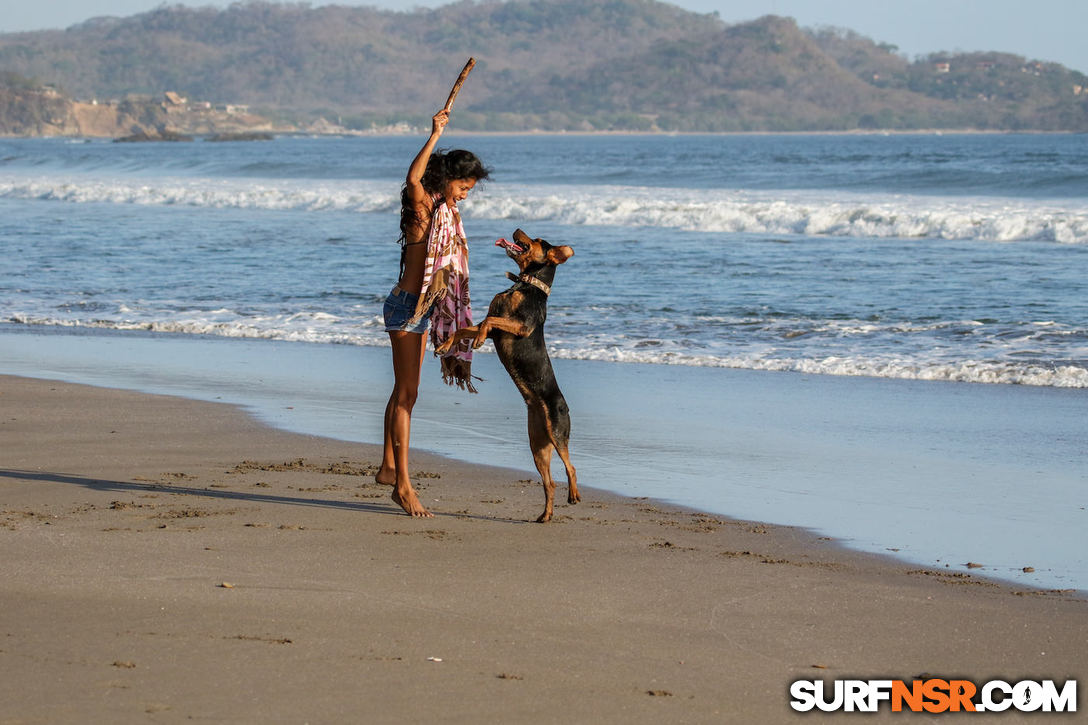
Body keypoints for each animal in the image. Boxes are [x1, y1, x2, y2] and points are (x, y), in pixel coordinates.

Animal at [437, 227, 583, 520]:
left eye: (537, 240)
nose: (517, 229)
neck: (525, 285)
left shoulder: (519, 326)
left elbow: (487, 322)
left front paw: (478, 341)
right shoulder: (496, 325)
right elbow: (464, 328)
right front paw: (446, 345)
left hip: (557, 432)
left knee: (571, 467)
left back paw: (573, 495)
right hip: (537, 444)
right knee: (549, 482)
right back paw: (545, 516)